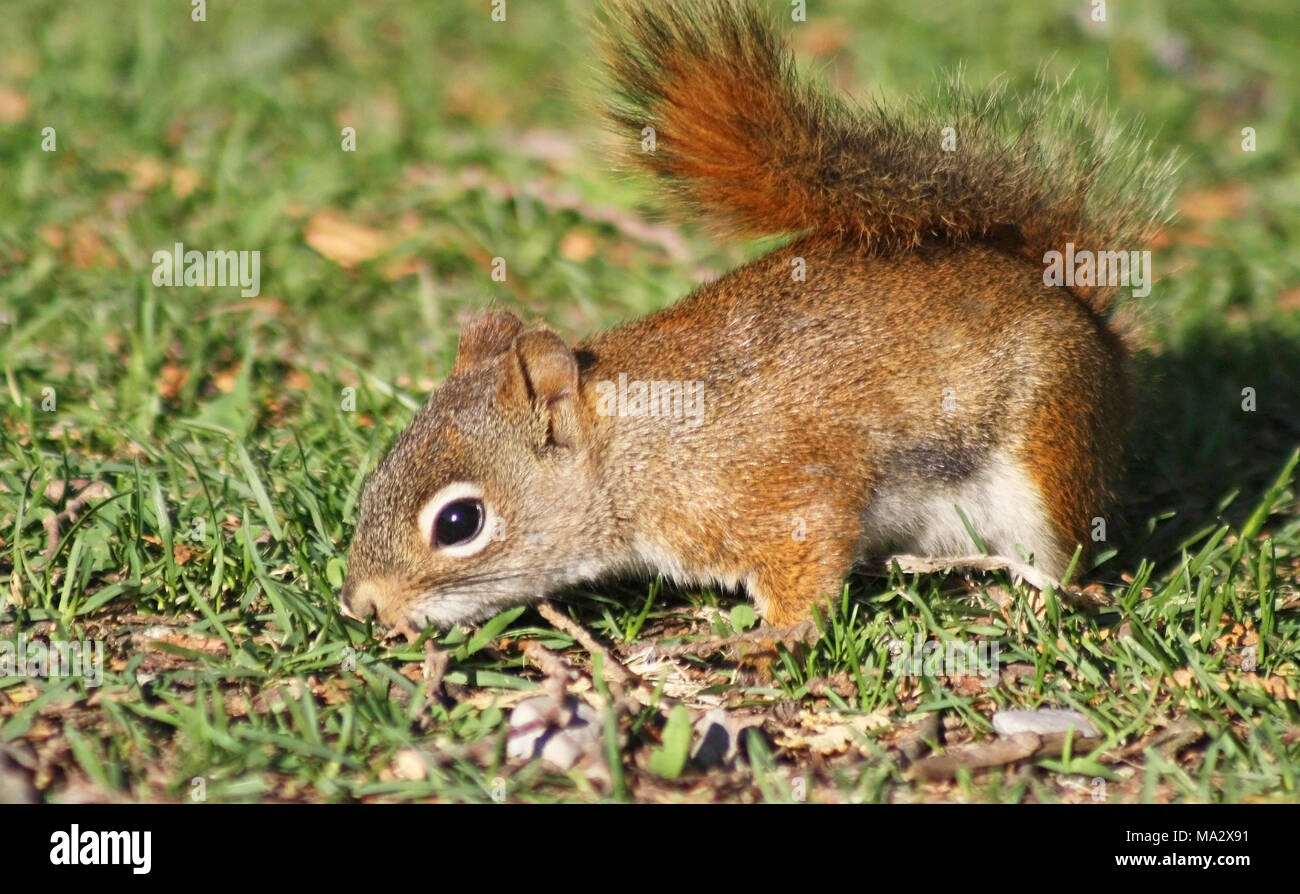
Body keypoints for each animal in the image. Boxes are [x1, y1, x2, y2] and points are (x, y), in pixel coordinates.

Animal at [340, 0, 1175, 636]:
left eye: (459, 523)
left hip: (1047, 449)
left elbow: (806, 567)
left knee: (1067, 557)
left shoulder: (777, 498)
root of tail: (1081, 310)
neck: (633, 449)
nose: (362, 607)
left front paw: (767, 638)